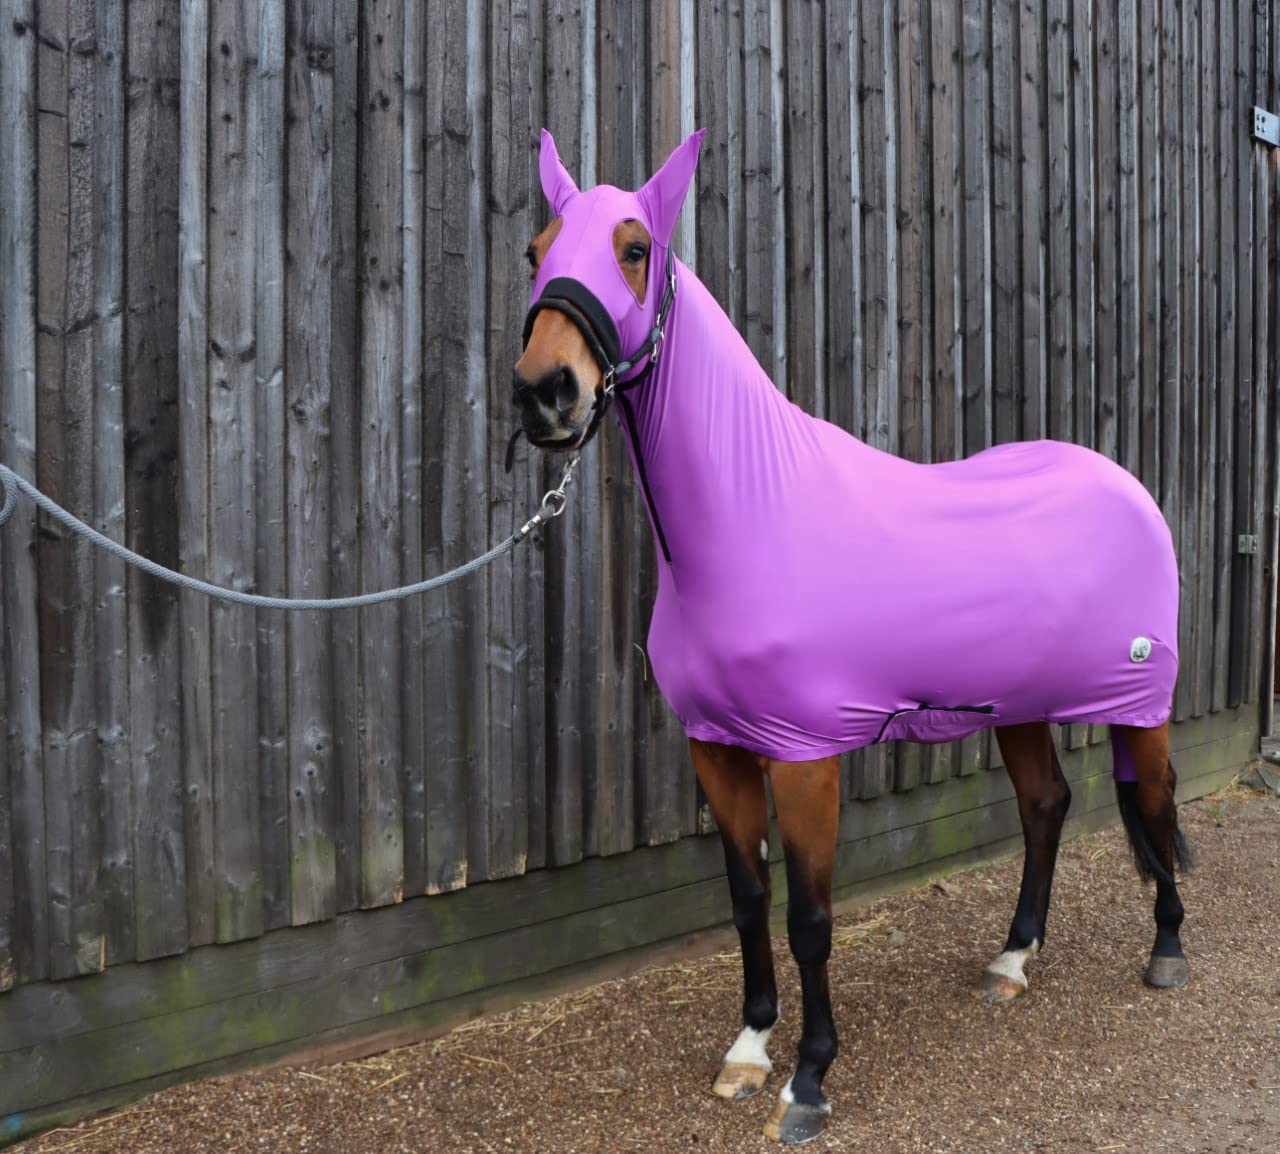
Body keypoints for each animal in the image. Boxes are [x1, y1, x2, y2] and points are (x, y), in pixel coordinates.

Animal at [511, 128, 1191, 1145]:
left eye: (634, 250)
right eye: (535, 252)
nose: (545, 394)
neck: (751, 517)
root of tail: (1126, 484)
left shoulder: (806, 758)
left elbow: (811, 919)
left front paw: (809, 1080)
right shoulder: (718, 750)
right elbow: (748, 901)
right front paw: (750, 1049)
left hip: (1140, 702)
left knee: (1153, 799)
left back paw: (1169, 947)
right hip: (1018, 706)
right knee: (1047, 806)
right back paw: (1011, 962)